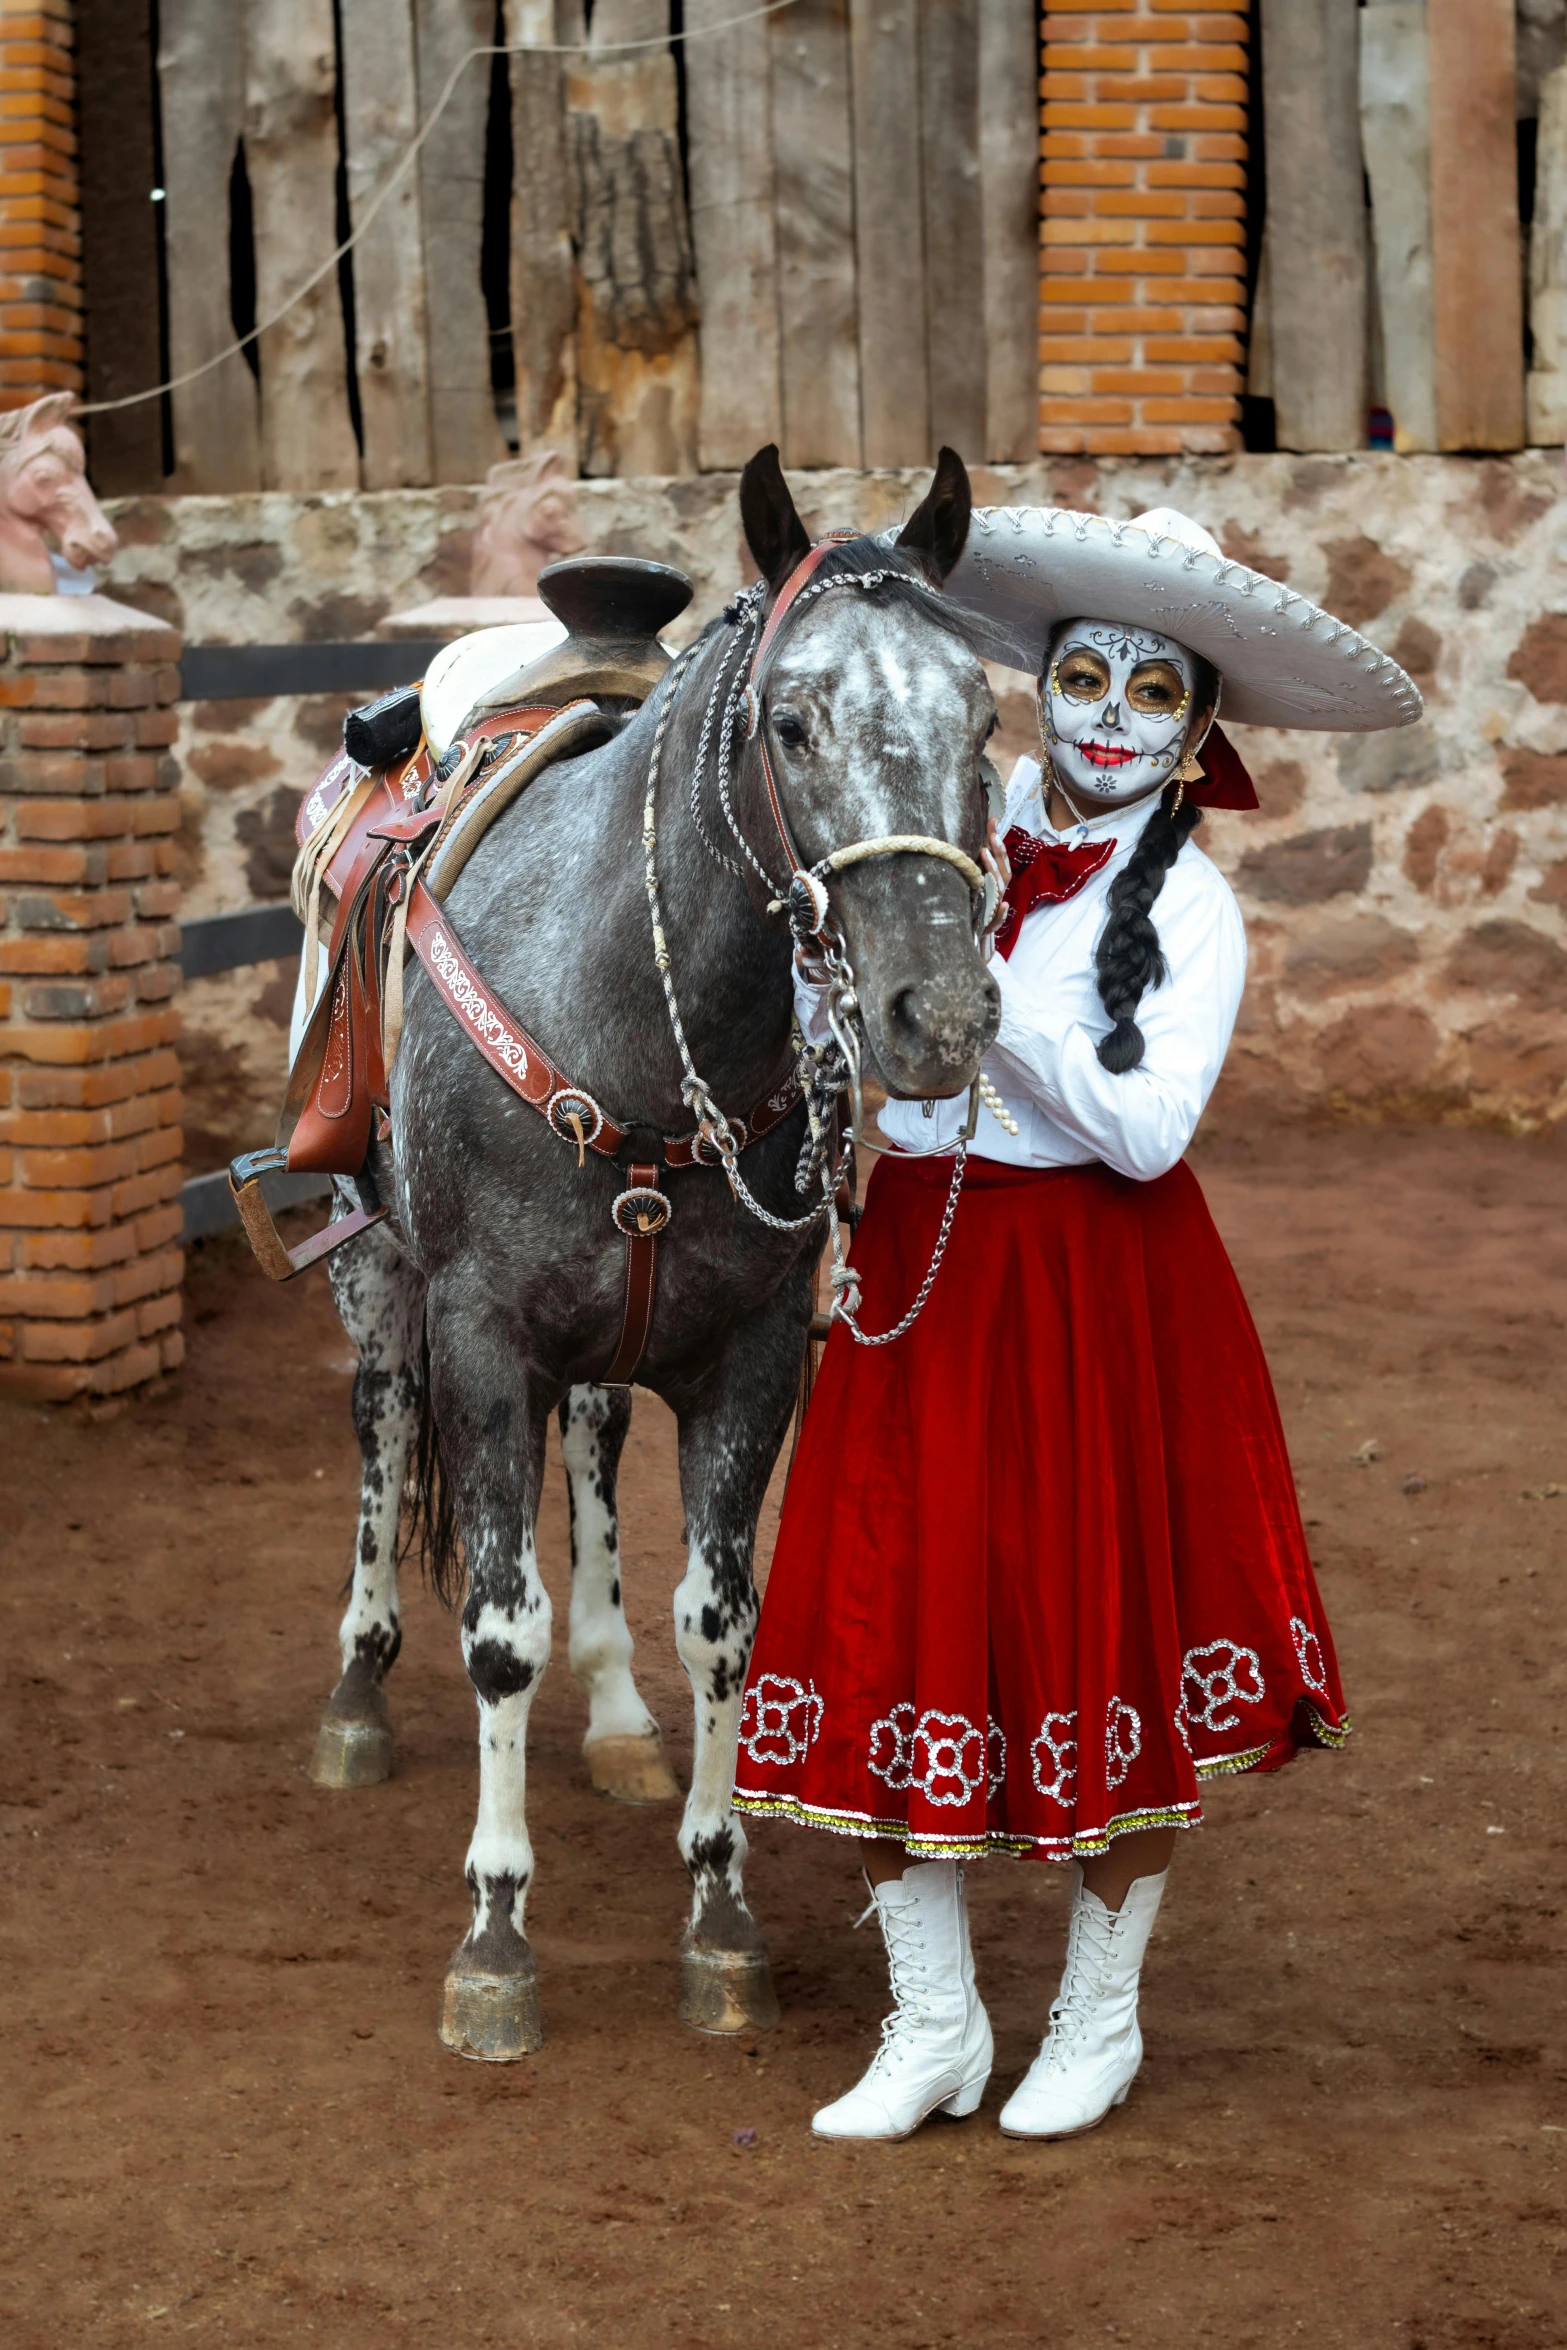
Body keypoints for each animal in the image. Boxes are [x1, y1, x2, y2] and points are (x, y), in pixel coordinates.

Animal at [305, 444, 1005, 2058]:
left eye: (986, 714)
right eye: (793, 720)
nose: (936, 1015)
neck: (628, 1002)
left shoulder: (749, 1358)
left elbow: (719, 1625)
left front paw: (718, 1908)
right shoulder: (484, 1337)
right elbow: (499, 1629)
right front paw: (496, 1934)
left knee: (594, 1434)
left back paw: (619, 1719)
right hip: (376, 1265)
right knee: (379, 1420)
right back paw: (358, 1688)